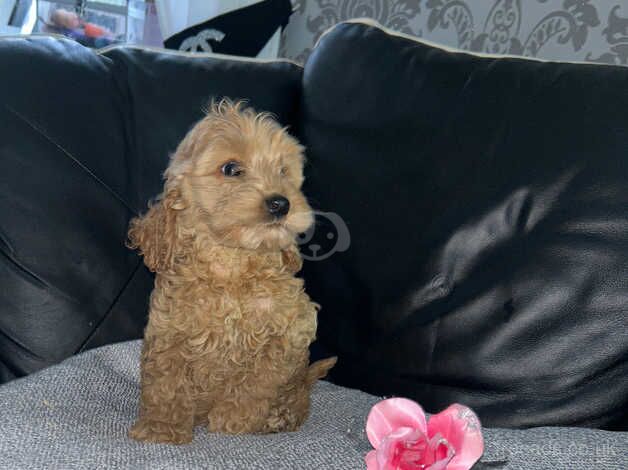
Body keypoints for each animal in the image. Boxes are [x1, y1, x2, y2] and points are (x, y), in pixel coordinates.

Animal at [124, 99, 336, 444]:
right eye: (231, 169)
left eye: (283, 171)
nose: (281, 203)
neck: (232, 266)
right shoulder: (169, 330)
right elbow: (166, 382)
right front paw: (161, 427)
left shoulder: (292, 329)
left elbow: (257, 382)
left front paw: (233, 422)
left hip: (297, 382)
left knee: (295, 397)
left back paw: (280, 417)